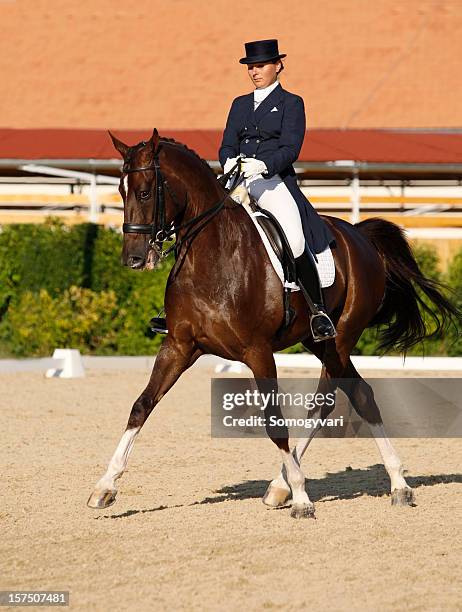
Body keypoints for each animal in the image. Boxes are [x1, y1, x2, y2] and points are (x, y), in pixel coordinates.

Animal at [87, 131, 458, 520]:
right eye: (121, 191)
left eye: (145, 192)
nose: (133, 258)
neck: (210, 257)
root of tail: (357, 234)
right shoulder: (179, 346)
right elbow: (141, 406)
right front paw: (105, 486)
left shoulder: (258, 351)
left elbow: (274, 421)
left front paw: (303, 499)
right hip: (317, 342)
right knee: (358, 394)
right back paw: (382, 483)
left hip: (339, 338)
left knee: (329, 400)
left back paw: (324, 485)